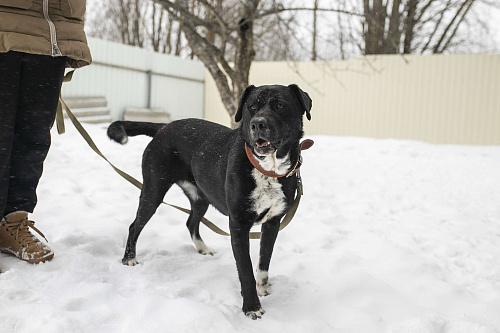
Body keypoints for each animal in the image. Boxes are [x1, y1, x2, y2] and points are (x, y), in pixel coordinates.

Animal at [108, 83, 312, 316]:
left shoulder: (273, 223)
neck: (267, 170)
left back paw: (202, 248)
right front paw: (252, 307)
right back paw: (129, 259)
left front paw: (263, 289)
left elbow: (264, 261)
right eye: (252, 107)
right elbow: (245, 270)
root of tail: (164, 126)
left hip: (201, 197)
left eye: (280, 105)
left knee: (190, 222)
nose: (258, 124)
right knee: (135, 225)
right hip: (153, 190)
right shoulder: (238, 225)